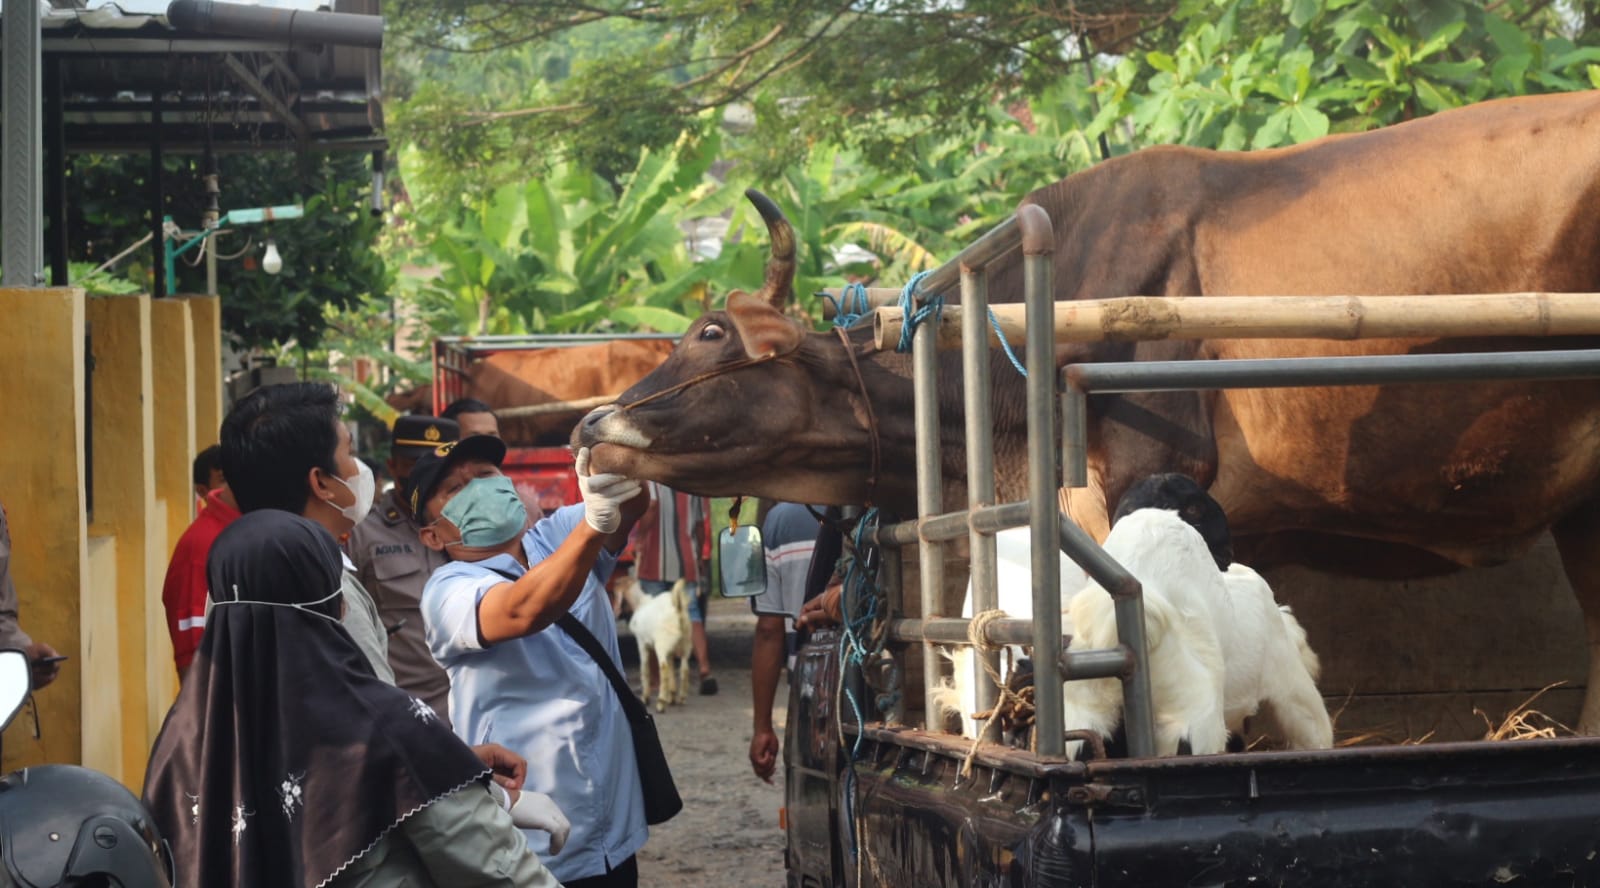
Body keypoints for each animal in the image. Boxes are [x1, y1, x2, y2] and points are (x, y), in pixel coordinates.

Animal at [620, 576, 691, 716]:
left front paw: (646, 698)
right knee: (684, 669)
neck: (641, 602)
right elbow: (671, 669)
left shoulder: (641, 643)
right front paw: (671, 696)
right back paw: (681, 698)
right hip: (685, 645)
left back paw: (660, 703)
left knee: (663, 668)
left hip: (662, 644)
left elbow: (645, 669)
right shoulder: (670, 651)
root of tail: (678, 609)